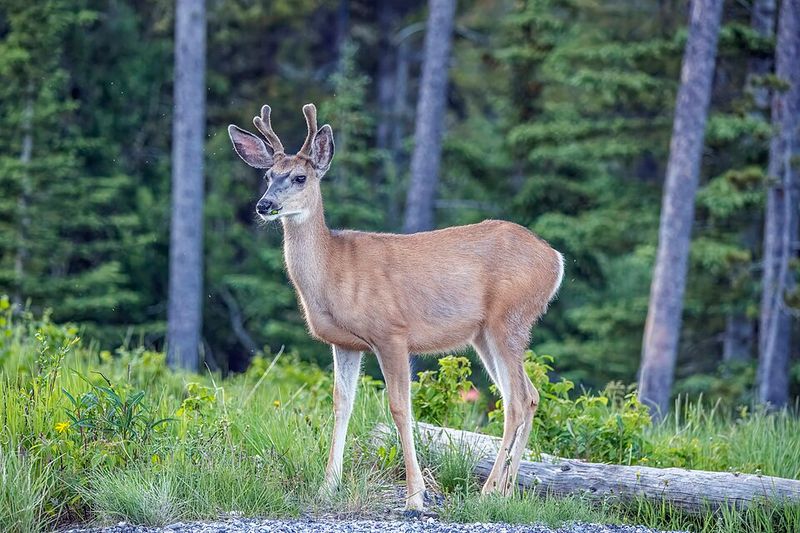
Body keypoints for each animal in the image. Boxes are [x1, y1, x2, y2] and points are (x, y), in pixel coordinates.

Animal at [227, 103, 564, 511]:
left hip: (509, 318)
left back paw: (488, 491)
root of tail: (555, 259)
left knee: (517, 400)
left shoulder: (391, 333)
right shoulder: (345, 343)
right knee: (528, 396)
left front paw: (415, 496)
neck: (334, 270)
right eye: (267, 176)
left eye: (299, 177)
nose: (265, 205)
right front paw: (327, 487)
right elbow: (341, 405)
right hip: (484, 334)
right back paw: (507, 490)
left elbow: (400, 409)